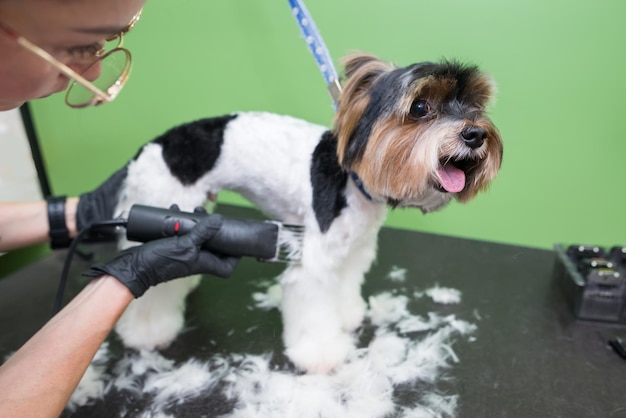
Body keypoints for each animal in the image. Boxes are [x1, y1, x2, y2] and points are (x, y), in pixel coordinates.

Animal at [111, 53, 502, 376]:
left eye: (475, 105)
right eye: (420, 107)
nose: (475, 134)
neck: (353, 179)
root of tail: (150, 147)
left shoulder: (352, 248)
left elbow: (344, 286)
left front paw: (346, 316)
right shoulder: (313, 260)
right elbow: (314, 308)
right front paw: (322, 355)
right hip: (163, 208)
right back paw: (146, 331)